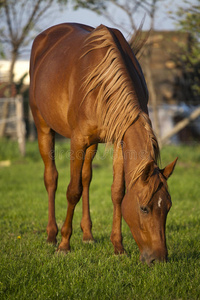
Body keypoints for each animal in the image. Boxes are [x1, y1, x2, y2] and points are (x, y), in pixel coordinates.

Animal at [29, 22, 177, 264]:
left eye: (168, 207)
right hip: (44, 128)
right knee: (51, 178)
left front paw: (118, 246)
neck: (103, 83)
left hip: (92, 144)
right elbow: (73, 191)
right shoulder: (77, 140)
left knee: (86, 178)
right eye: (144, 208)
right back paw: (52, 235)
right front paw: (64, 245)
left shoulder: (119, 142)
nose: (159, 258)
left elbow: (117, 192)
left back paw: (87, 235)